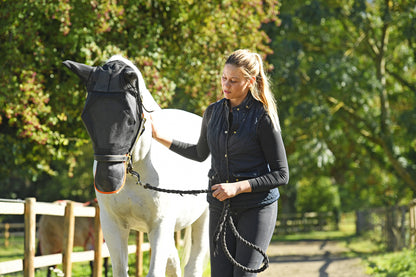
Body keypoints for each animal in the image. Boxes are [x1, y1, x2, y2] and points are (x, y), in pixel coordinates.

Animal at [63, 55, 210, 274]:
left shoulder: (160, 226)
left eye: (131, 120)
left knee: (194, 262)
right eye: (87, 118)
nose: (108, 181)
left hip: (203, 219)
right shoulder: (113, 226)